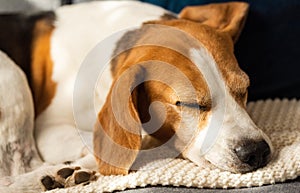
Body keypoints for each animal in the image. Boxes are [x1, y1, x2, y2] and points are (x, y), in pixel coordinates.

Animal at [0, 0, 272, 191]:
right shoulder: (49, 131)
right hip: (12, 74)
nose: (256, 151)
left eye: (244, 88)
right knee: (20, 166)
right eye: (191, 104)